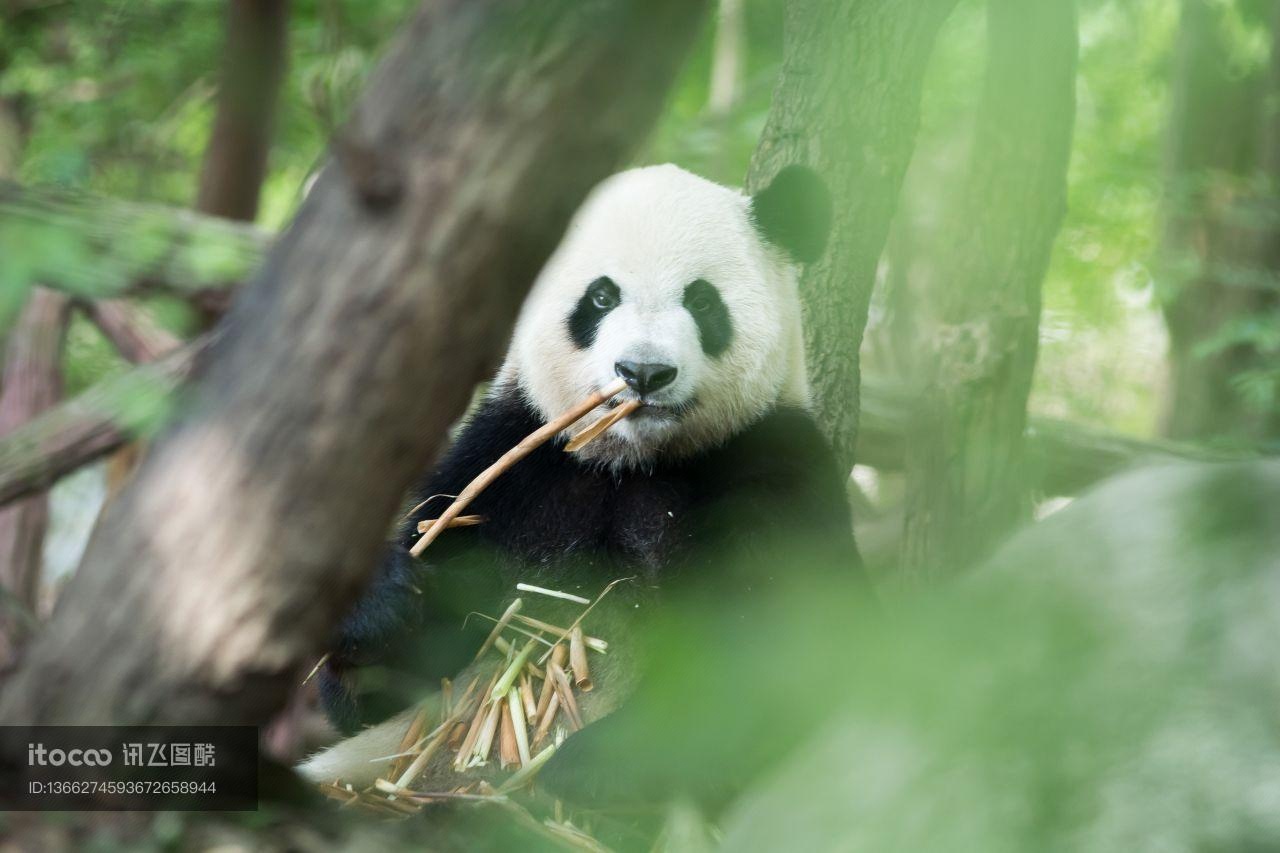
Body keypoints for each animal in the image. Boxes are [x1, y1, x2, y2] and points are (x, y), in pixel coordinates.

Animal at [295, 162, 865, 799]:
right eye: (601, 296)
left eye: (701, 300)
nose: (643, 372)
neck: (634, 461)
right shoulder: (510, 466)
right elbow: (390, 688)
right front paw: (382, 606)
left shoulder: (773, 461)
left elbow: (785, 657)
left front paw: (591, 766)